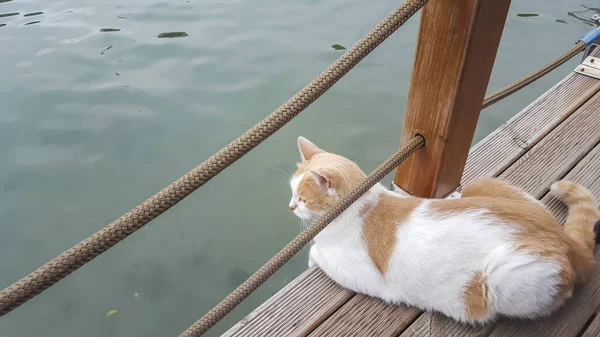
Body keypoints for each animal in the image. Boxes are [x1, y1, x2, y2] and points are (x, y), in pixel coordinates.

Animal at [288, 136, 596, 322]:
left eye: (301, 198)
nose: (290, 207)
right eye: (292, 191)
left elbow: (317, 253)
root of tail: (565, 240)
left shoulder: (357, 273)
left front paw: (311, 258)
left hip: (503, 275)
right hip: (483, 186)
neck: (363, 205)